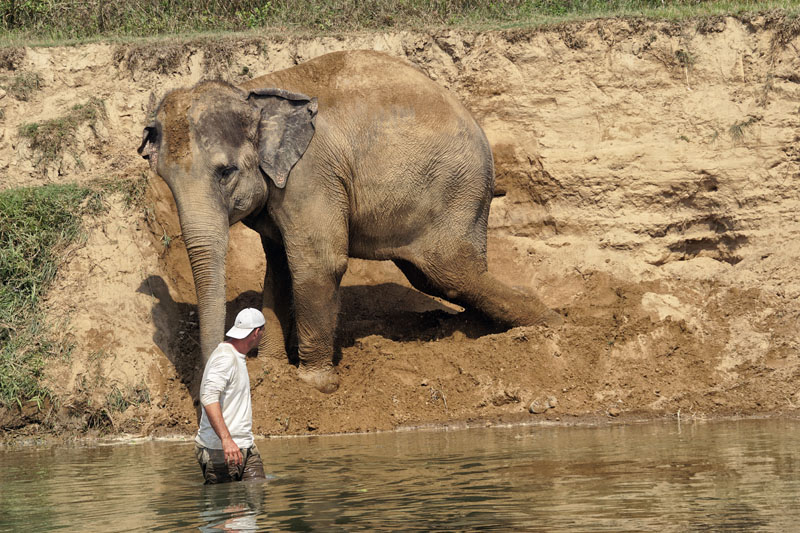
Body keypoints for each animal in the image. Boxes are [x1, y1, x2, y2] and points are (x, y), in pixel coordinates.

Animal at [139, 48, 564, 390]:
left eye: (225, 172)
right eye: (166, 181)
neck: (252, 92)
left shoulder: (310, 176)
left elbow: (317, 264)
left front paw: (315, 384)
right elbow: (279, 270)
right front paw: (272, 374)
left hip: (454, 192)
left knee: (451, 273)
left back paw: (553, 325)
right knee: (445, 277)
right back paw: (486, 330)